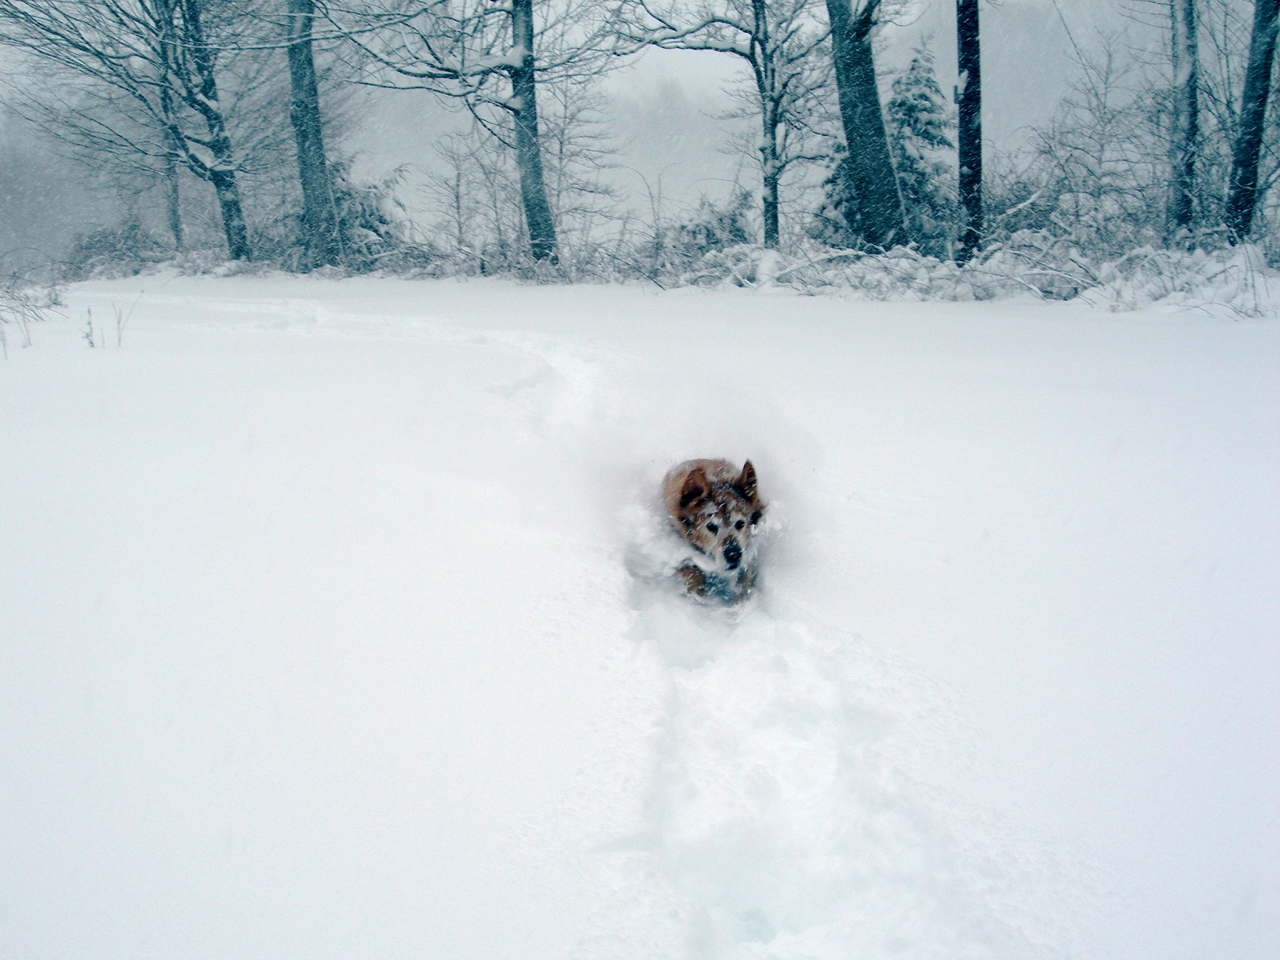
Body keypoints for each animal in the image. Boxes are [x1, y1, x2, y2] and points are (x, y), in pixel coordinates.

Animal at [665, 458, 762, 601]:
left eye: (740, 523)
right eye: (711, 526)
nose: (733, 555)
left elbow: (744, 580)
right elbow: (690, 568)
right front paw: (697, 594)